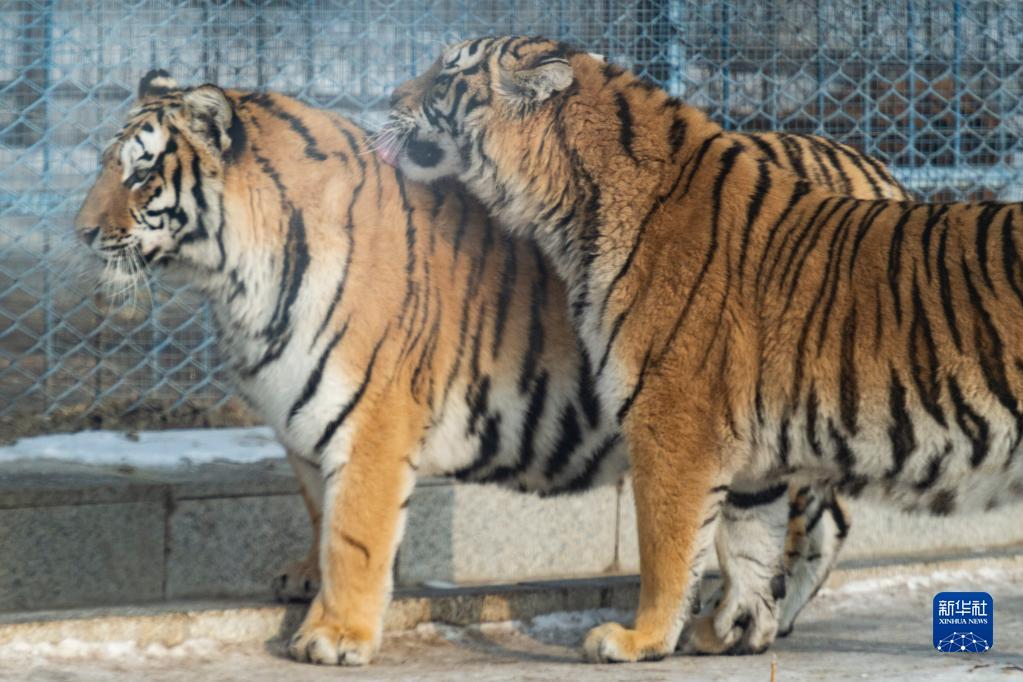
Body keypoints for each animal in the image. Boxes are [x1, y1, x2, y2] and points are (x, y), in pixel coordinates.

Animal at [75, 69, 908, 666]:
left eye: (141, 175)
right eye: (106, 166)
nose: (80, 232)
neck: (233, 282)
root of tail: (877, 169)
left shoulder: (373, 418)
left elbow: (354, 530)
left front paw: (334, 635)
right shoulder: (302, 420)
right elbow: (321, 513)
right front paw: (305, 580)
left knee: (812, 523)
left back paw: (756, 621)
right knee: (820, 520)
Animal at [384, 34, 1023, 662]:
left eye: (446, 76)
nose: (390, 94)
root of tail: (879, 167)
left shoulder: (673, 422)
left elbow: (668, 545)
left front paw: (639, 639)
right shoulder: (756, 449)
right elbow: (748, 544)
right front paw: (733, 630)